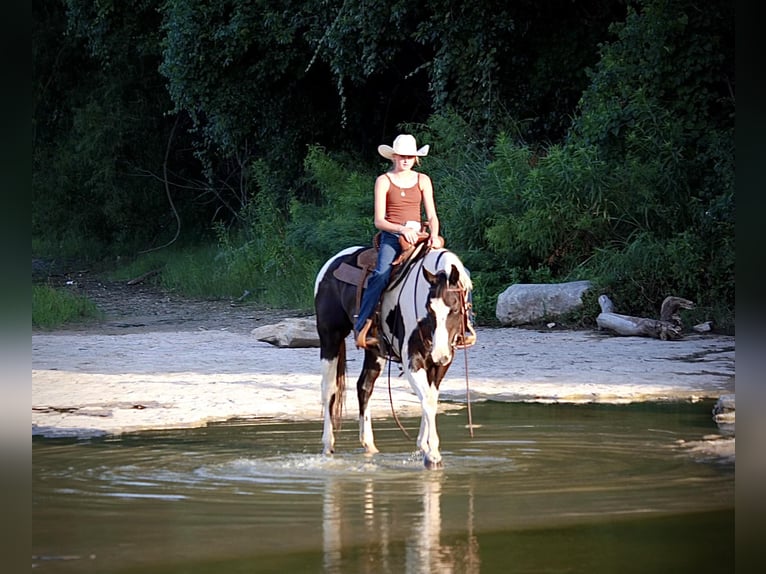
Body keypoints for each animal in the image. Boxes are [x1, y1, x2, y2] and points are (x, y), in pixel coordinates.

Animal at [314, 245, 474, 470]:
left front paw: (423, 445)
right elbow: (427, 399)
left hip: (375, 351)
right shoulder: (412, 360)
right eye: (429, 309)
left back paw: (370, 446)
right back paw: (328, 445)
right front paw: (433, 455)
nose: (439, 353)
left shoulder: (442, 363)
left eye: (455, 309)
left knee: (364, 386)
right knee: (329, 389)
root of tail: (333, 262)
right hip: (330, 337)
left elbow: (431, 399)